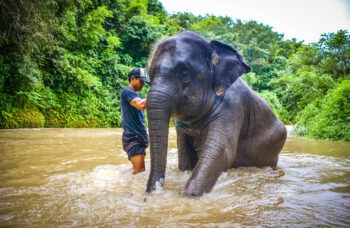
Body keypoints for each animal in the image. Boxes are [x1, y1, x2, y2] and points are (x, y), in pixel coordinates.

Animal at [145, 31, 288, 197]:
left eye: (184, 73)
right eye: (150, 75)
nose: (154, 192)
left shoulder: (232, 108)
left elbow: (220, 152)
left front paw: (189, 196)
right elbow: (184, 155)